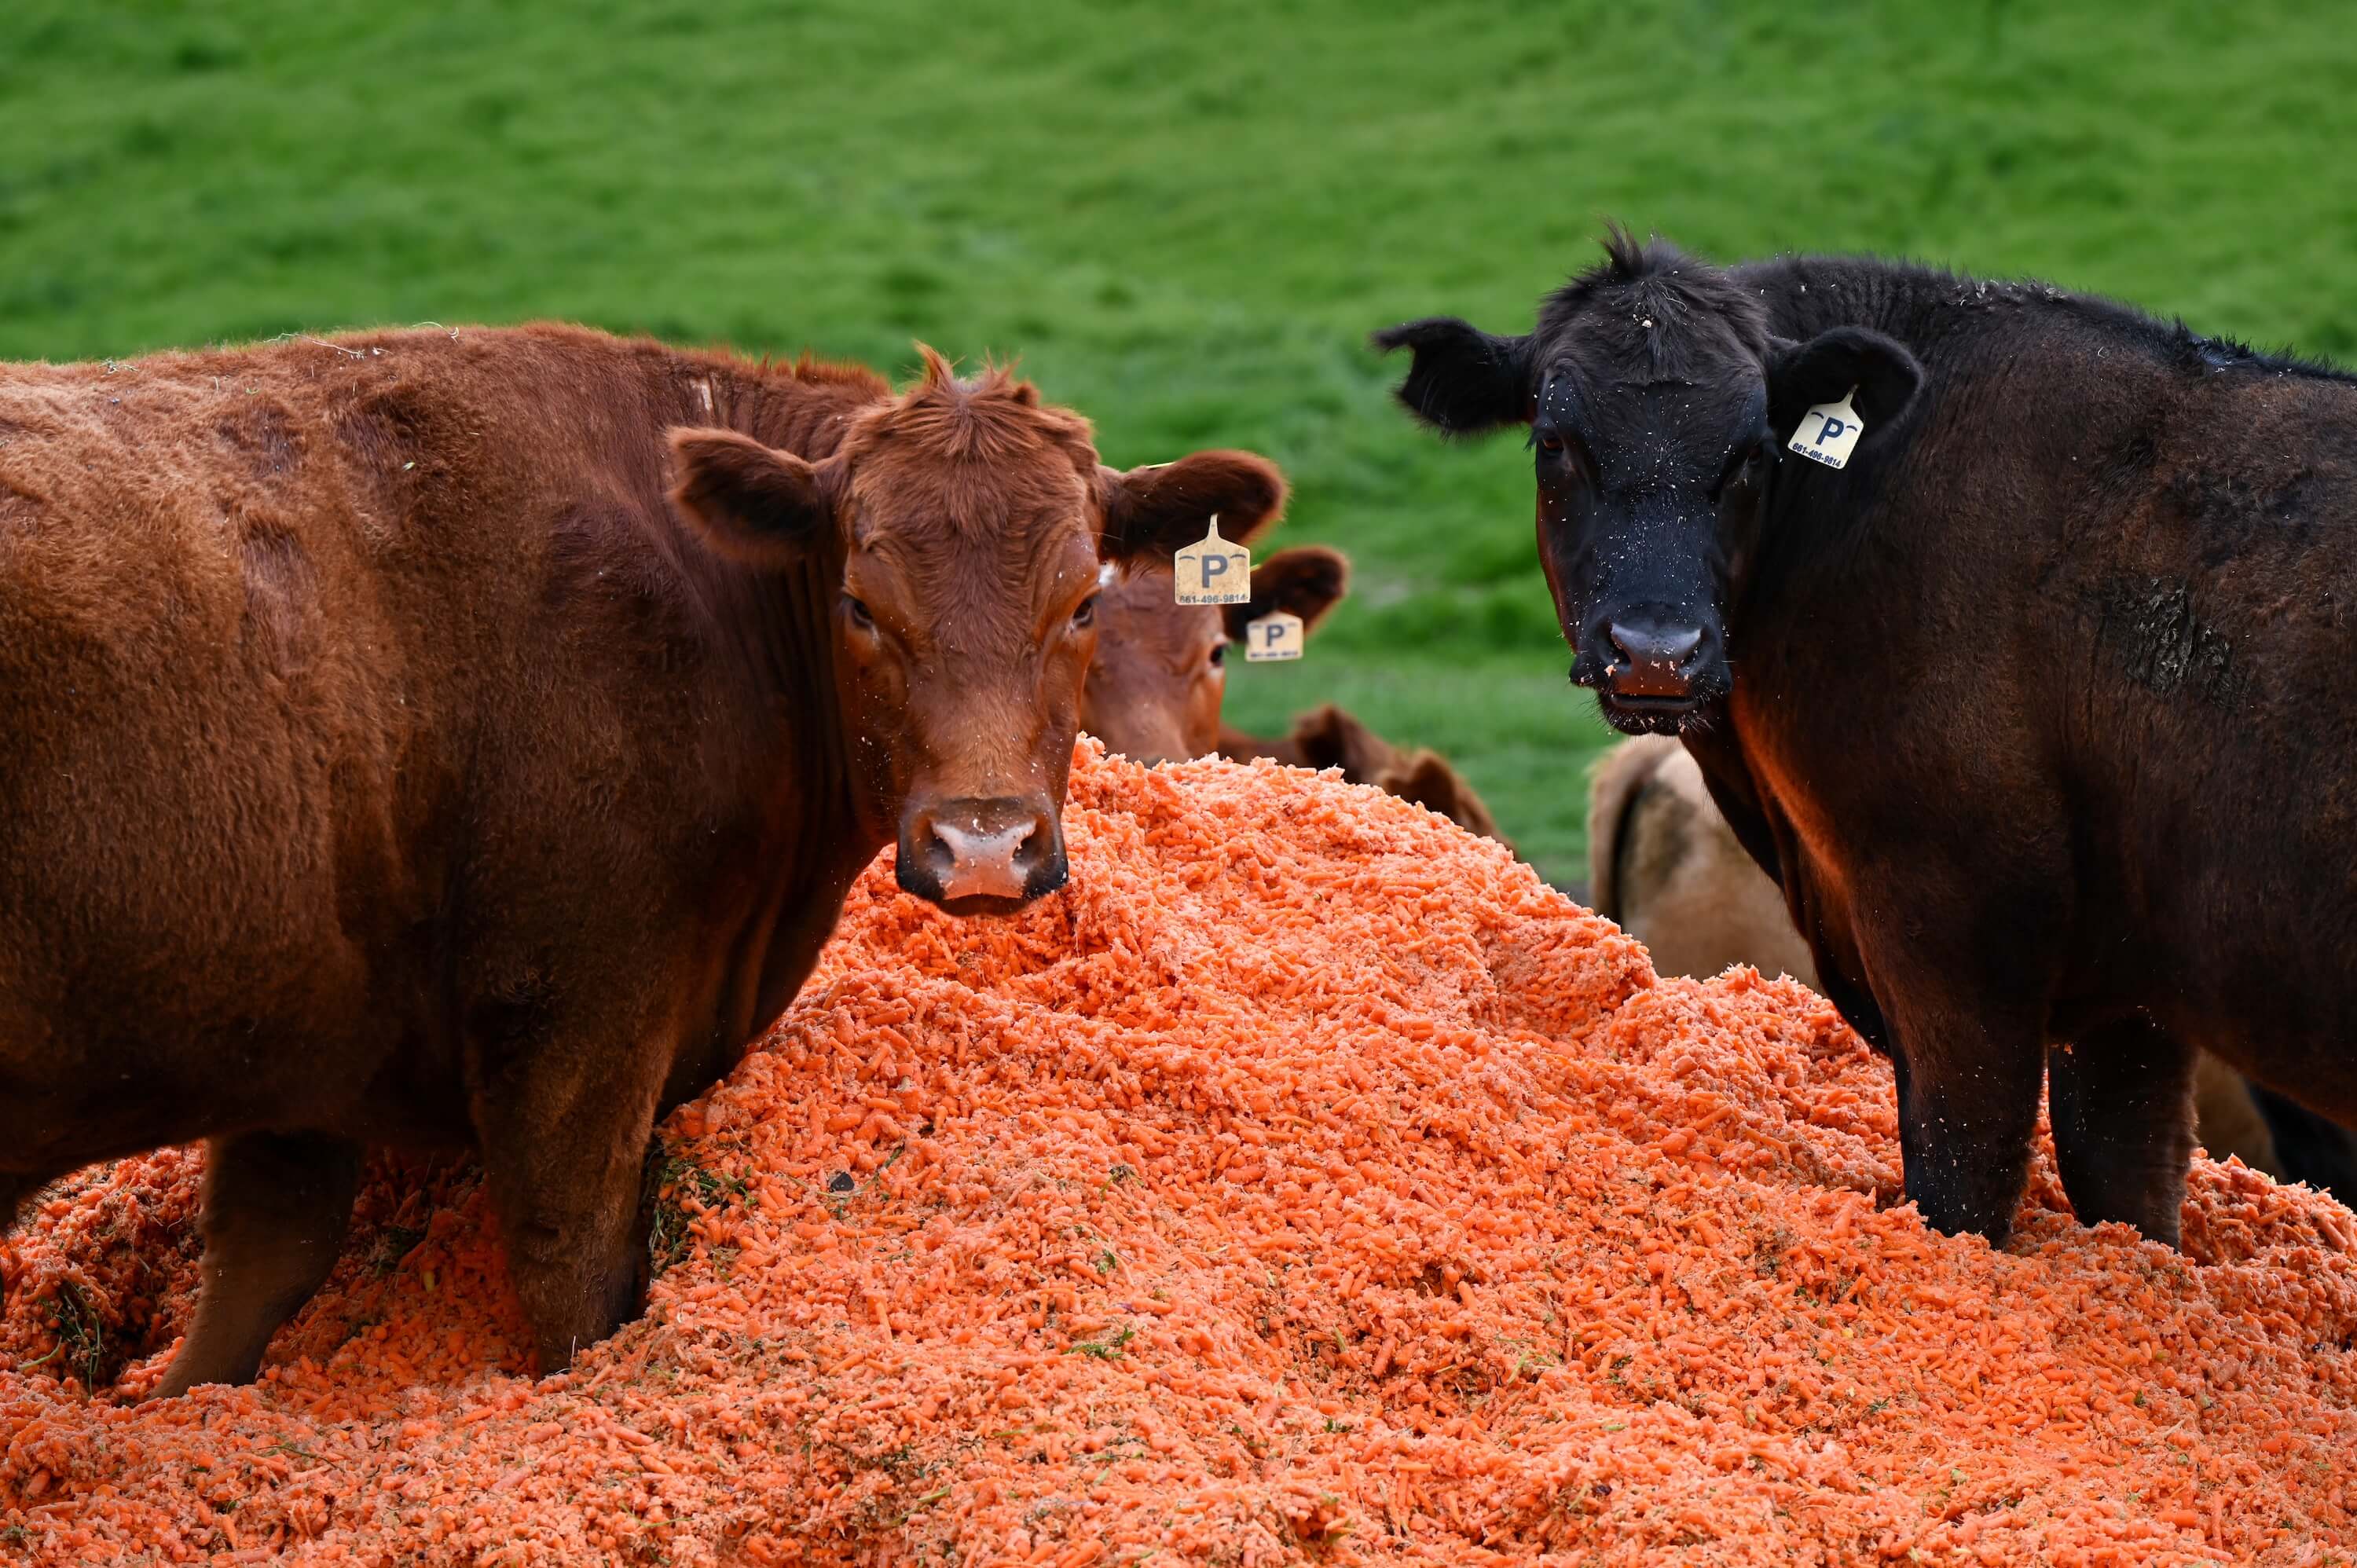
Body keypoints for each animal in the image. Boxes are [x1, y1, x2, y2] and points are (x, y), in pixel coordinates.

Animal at [0, 325, 1286, 1393]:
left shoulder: (303, 1043)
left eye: (1080, 604)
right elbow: (574, 1280)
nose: (984, 842)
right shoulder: (576, 1026)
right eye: (861, 605)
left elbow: (252, 1279)